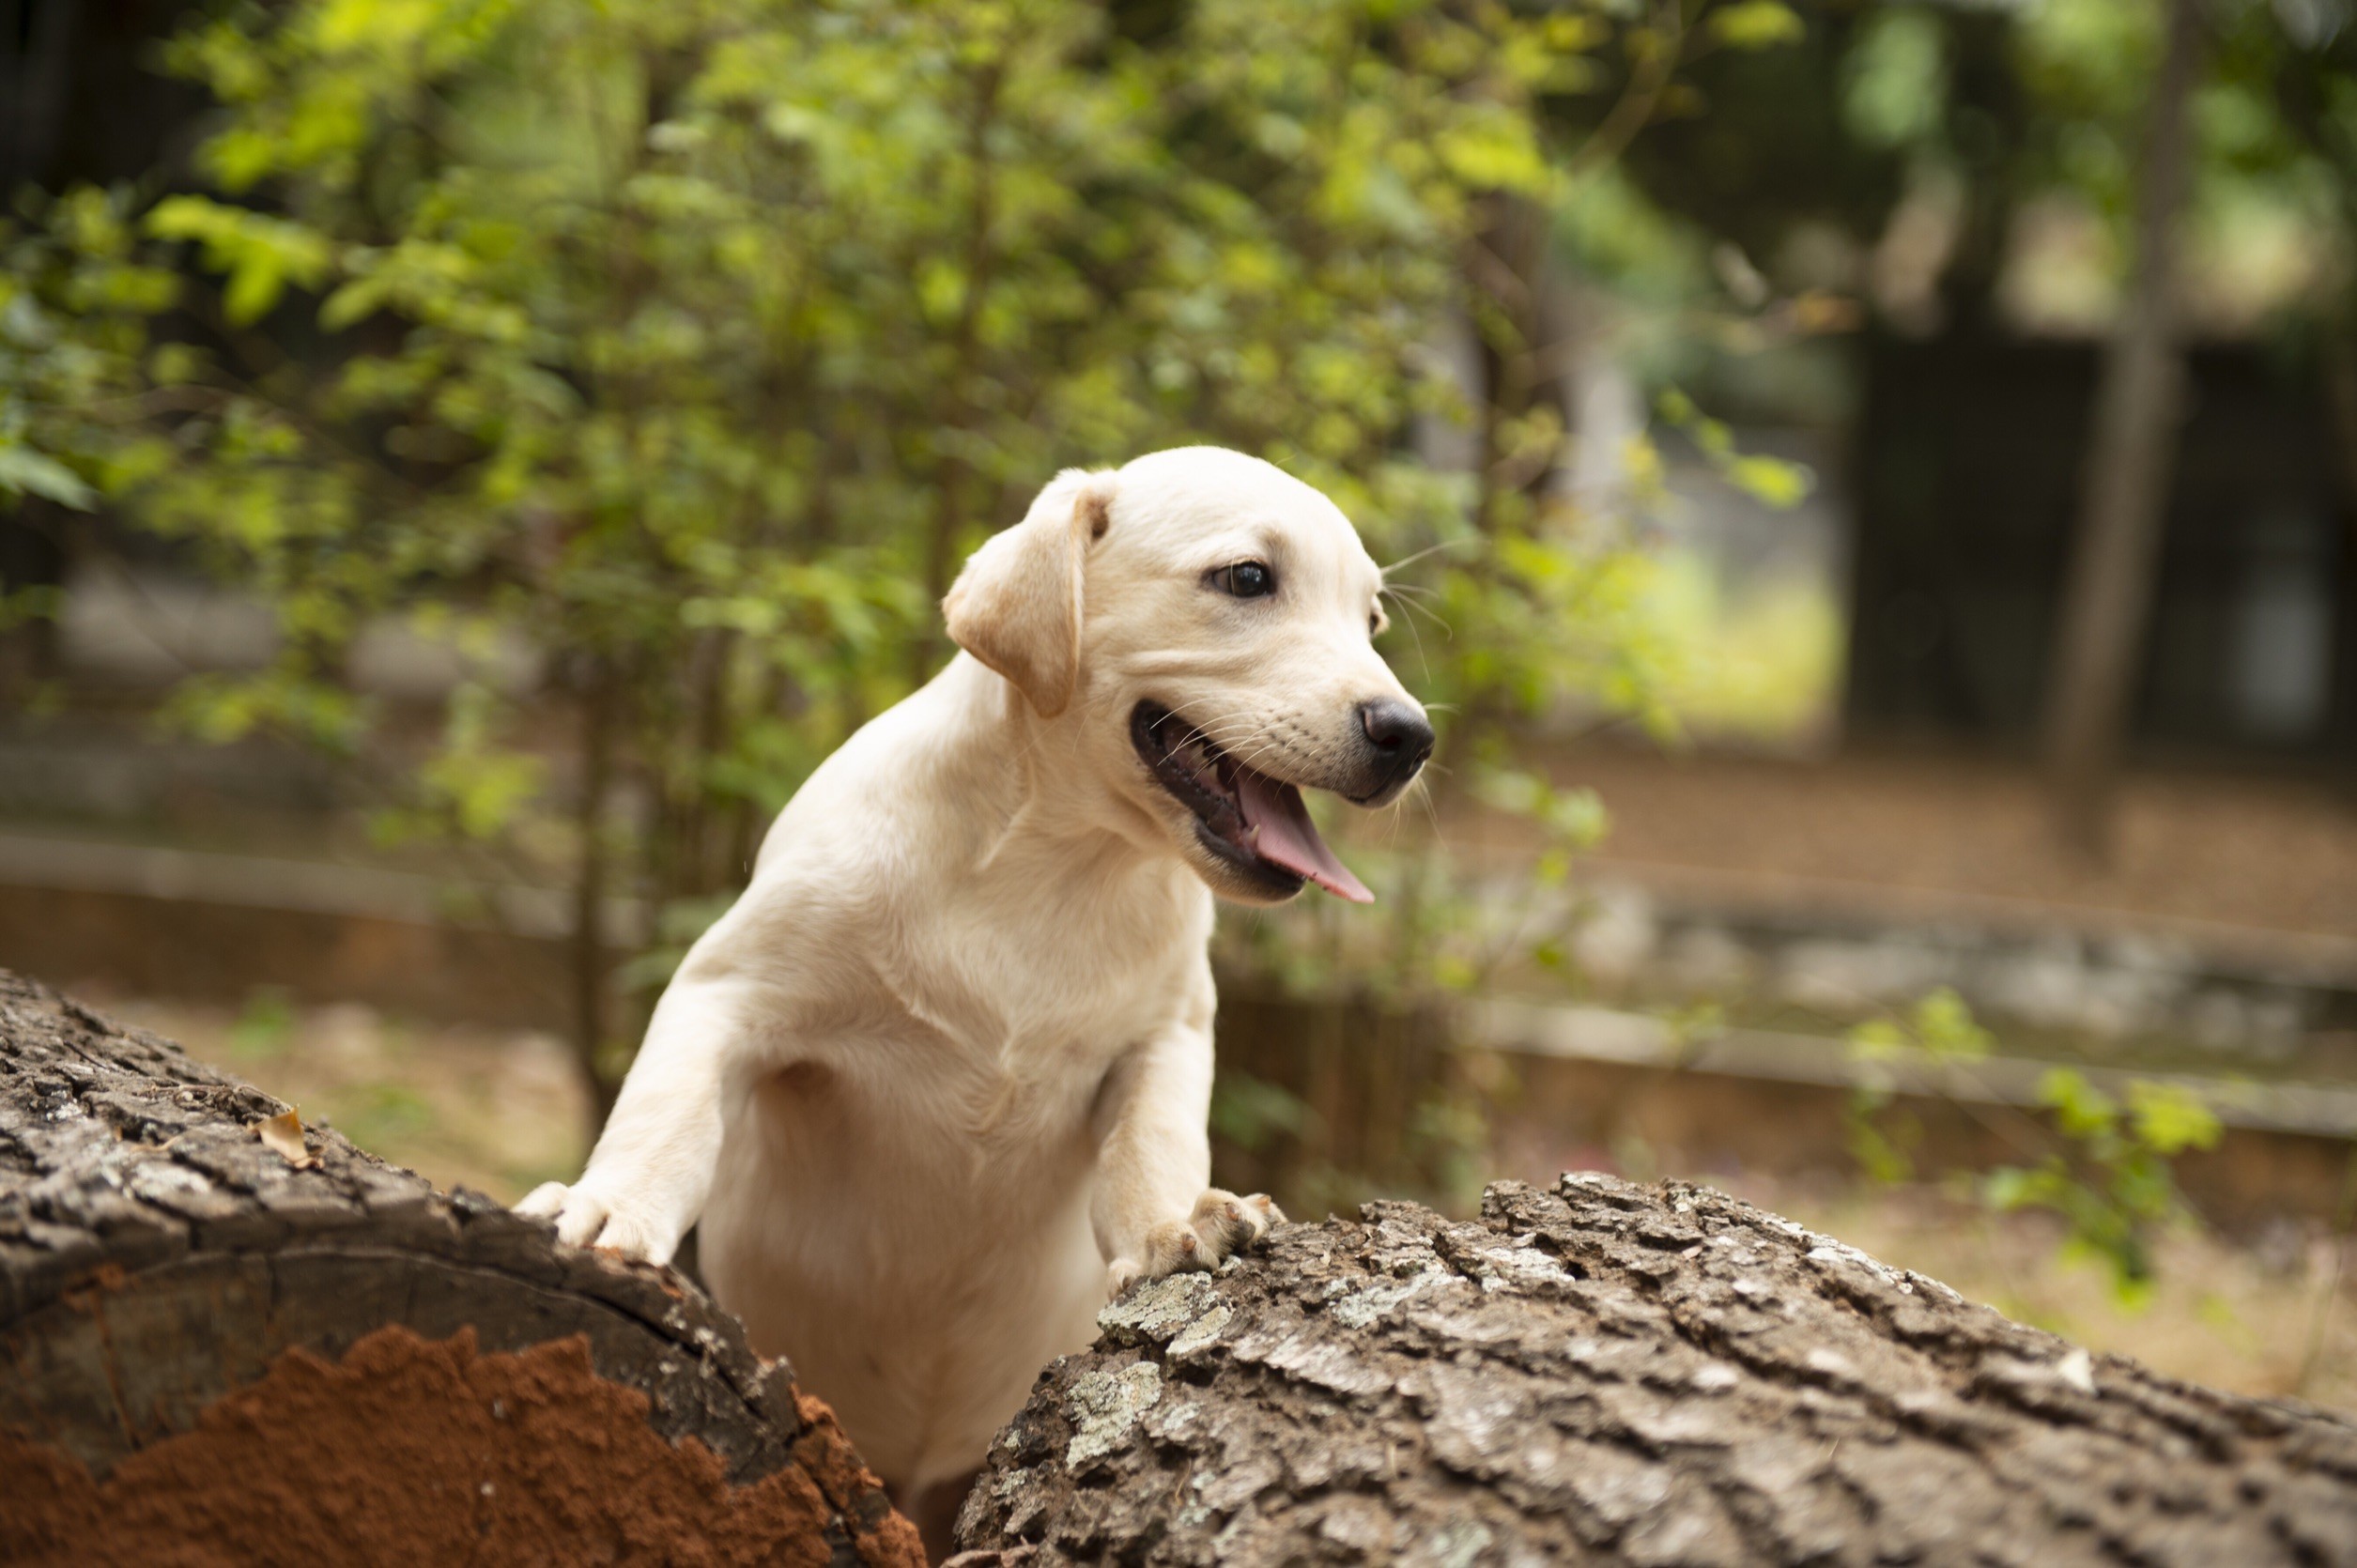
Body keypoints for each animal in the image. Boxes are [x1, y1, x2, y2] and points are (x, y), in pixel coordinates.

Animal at [518, 440, 1433, 1509]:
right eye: (1247, 579)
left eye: (1371, 620)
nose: (1410, 736)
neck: (1058, 863)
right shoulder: (730, 992)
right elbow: (665, 1115)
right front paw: (609, 1208)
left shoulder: (1165, 1035)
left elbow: (1151, 1141)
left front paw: (1171, 1223)